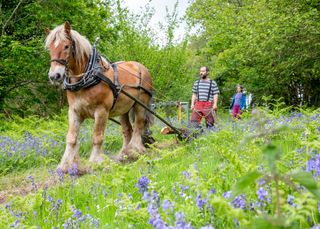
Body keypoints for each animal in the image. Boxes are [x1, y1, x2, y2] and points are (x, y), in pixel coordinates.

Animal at [45, 21, 154, 172]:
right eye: (50, 48)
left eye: (66, 46)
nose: (54, 76)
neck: (86, 78)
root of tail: (141, 67)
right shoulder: (74, 111)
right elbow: (71, 138)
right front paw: (65, 165)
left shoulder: (101, 111)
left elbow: (97, 136)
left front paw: (96, 162)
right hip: (123, 109)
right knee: (127, 130)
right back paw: (124, 154)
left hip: (140, 103)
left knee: (138, 125)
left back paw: (135, 150)